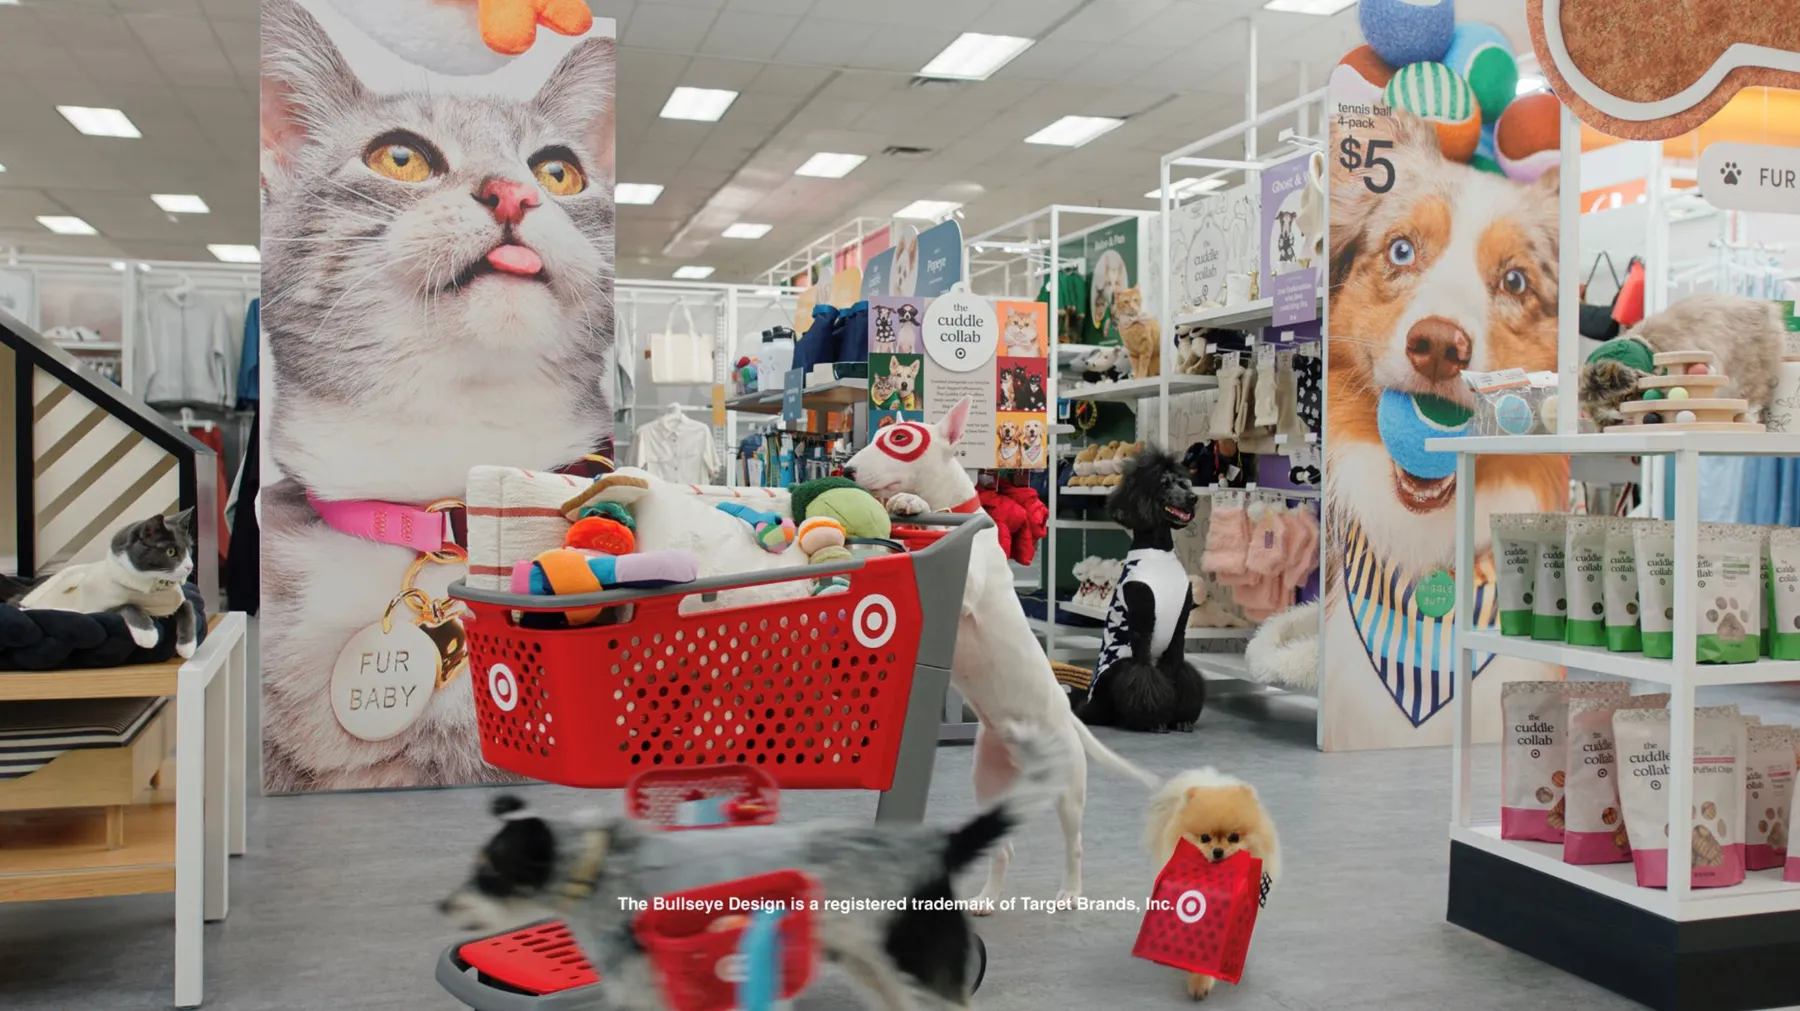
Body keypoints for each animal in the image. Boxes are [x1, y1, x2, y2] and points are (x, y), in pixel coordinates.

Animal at [21, 510, 198, 654]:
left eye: (189, 549)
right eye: (171, 552)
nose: (190, 566)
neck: (152, 586)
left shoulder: (175, 599)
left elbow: (188, 606)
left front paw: (187, 646)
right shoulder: (96, 607)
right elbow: (128, 605)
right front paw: (147, 635)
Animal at [838, 393, 1152, 906]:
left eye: (900, 438)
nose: (844, 470)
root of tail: (1066, 718)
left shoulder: (967, 581)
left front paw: (911, 502)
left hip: (1069, 789)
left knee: (1075, 843)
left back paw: (1069, 892)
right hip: (988, 783)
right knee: (1002, 848)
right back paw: (986, 898)